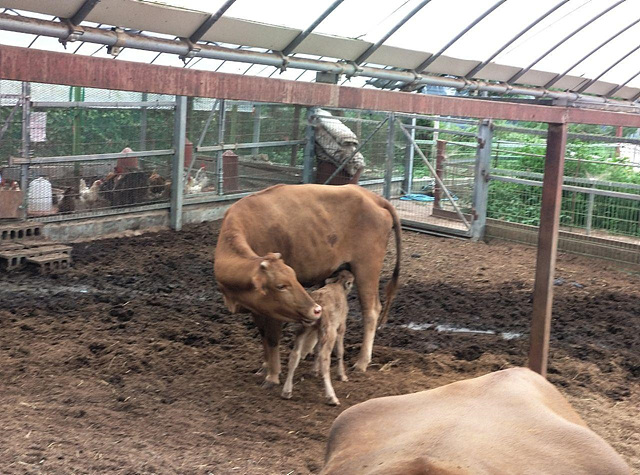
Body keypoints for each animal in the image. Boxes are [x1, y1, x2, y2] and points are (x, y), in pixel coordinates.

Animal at [215, 184, 400, 388]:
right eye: (282, 285)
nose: (315, 309)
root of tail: (372, 197)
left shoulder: (273, 310)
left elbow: (272, 339)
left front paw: (272, 375)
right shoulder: (256, 307)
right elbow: (263, 335)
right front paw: (264, 367)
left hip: (367, 269)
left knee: (371, 311)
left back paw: (361, 362)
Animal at [282, 270, 358, 408]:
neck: (338, 284)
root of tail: (318, 302)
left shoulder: (317, 331)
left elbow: (316, 349)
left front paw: (314, 371)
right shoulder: (341, 326)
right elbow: (340, 351)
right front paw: (342, 375)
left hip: (305, 328)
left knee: (295, 354)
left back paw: (286, 391)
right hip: (330, 331)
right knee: (325, 358)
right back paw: (331, 397)